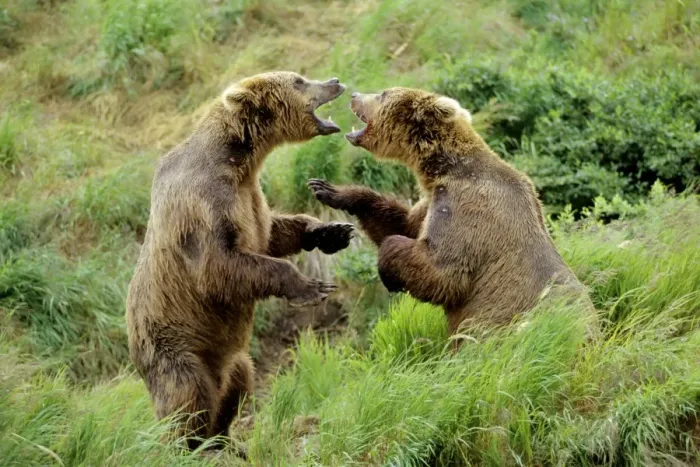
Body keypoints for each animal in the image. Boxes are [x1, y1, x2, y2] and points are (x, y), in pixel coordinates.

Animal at [126, 72, 352, 449]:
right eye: (299, 80)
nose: (335, 80)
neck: (238, 160)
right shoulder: (204, 205)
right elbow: (218, 266)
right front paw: (313, 287)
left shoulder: (251, 198)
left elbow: (271, 234)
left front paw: (332, 230)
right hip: (174, 348)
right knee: (187, 395)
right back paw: (191, 445)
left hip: (230, 358)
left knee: (238, 381)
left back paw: (226, 440)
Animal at [309, 87, 593, 335]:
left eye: (383, 94)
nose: (354, 95)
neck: (443, 168)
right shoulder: (432, 201)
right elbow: (404, 224)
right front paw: (328, 189)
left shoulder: (464, 207)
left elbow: (444, 270)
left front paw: (390, 275)